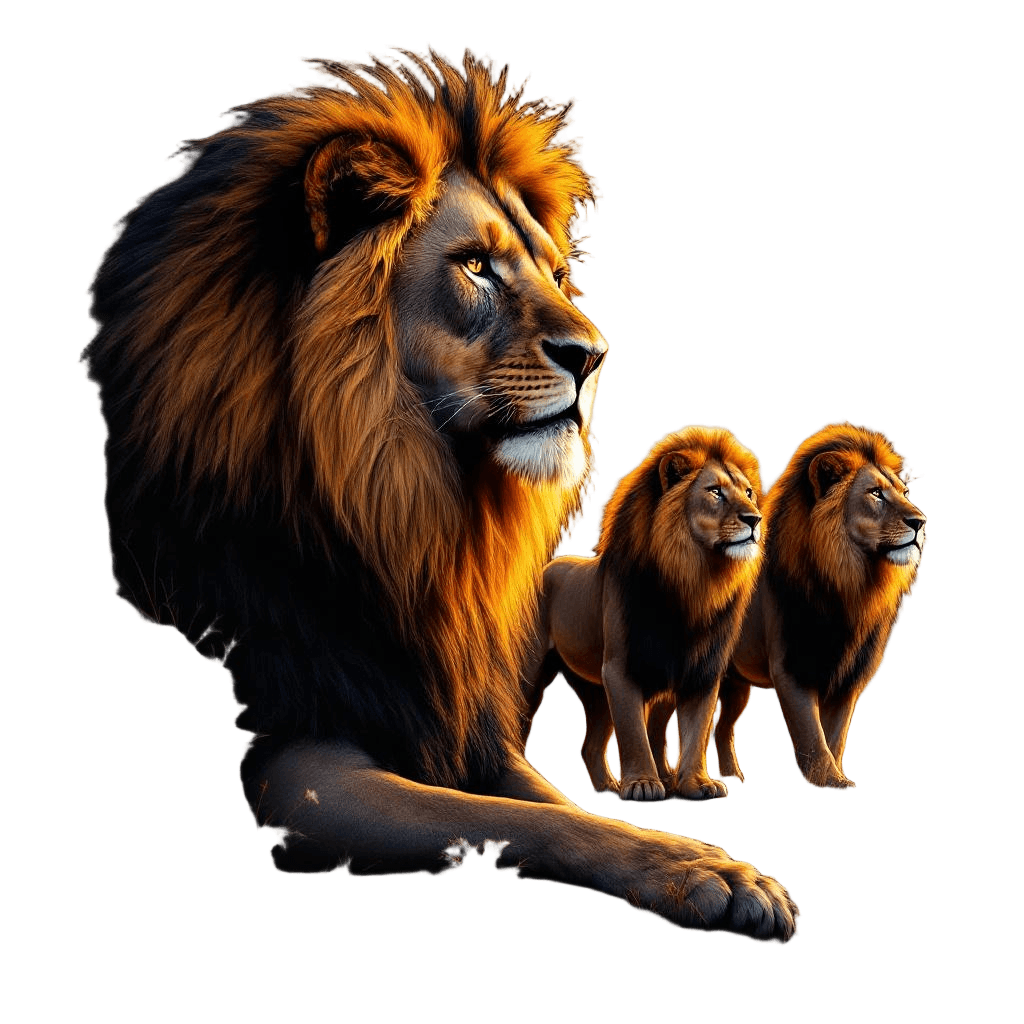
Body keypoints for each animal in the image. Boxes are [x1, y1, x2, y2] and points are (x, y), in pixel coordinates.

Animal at [523, 425, 764, 803]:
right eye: (715, 492)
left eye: (749, 492)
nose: (755, 519)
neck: (694, 583)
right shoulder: (621, 668)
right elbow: (634, 733)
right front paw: (643, 784)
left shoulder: (701, 673)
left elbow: (695, 733)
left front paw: (696, 783)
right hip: (533, 672)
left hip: (595, 688)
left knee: (589, 746)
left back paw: (607, 786)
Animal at [710, 420, 927, 790]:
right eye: (875, 493)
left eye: (905, 493)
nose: (920, 521)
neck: (851, 585)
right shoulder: (792, 667)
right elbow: (811, 733)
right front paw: (827, 780)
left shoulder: (847, 676)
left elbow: (835, 735)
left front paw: (838, 778)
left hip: (737, 683)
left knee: (722, 730)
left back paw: (733, 779)